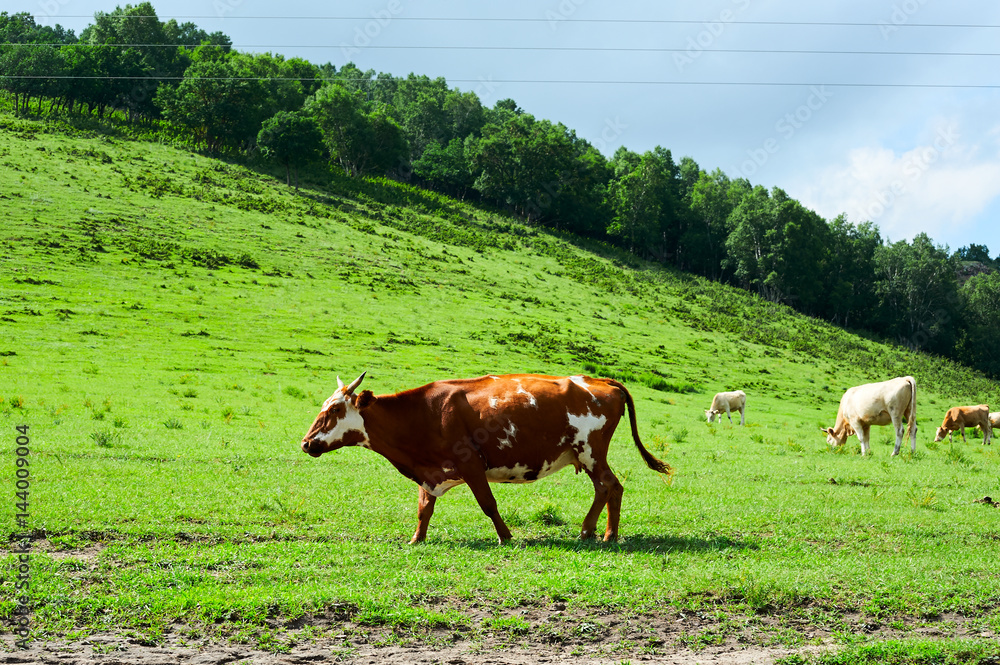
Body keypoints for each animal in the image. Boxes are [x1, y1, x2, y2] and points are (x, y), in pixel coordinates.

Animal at [296, 370, 672, 544]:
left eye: (333, 410)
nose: (306, 442)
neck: (423, 413)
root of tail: (599, 380)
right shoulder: (430, 471)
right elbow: (424, 509)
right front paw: (417, 539)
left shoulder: (470, 464)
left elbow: (488, 504)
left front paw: (506, 536)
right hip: (587, 454)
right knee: (610, 488)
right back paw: (599, 531)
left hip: (590, 451)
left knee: (608, 486)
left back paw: (598, 532)